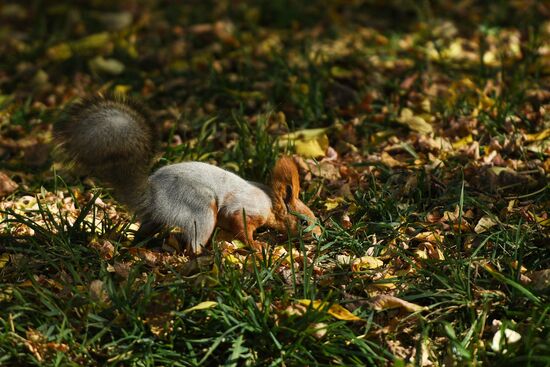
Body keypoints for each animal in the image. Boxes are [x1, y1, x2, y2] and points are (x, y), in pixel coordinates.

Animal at [54, 95, 322, 253]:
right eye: (303, 221)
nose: (319, 235)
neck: (270, 203)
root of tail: (152, 197)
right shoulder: (245, 209)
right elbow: (240, 225)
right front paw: (255, 245)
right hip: (200, 211)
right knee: (194, 243)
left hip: (157, 219)